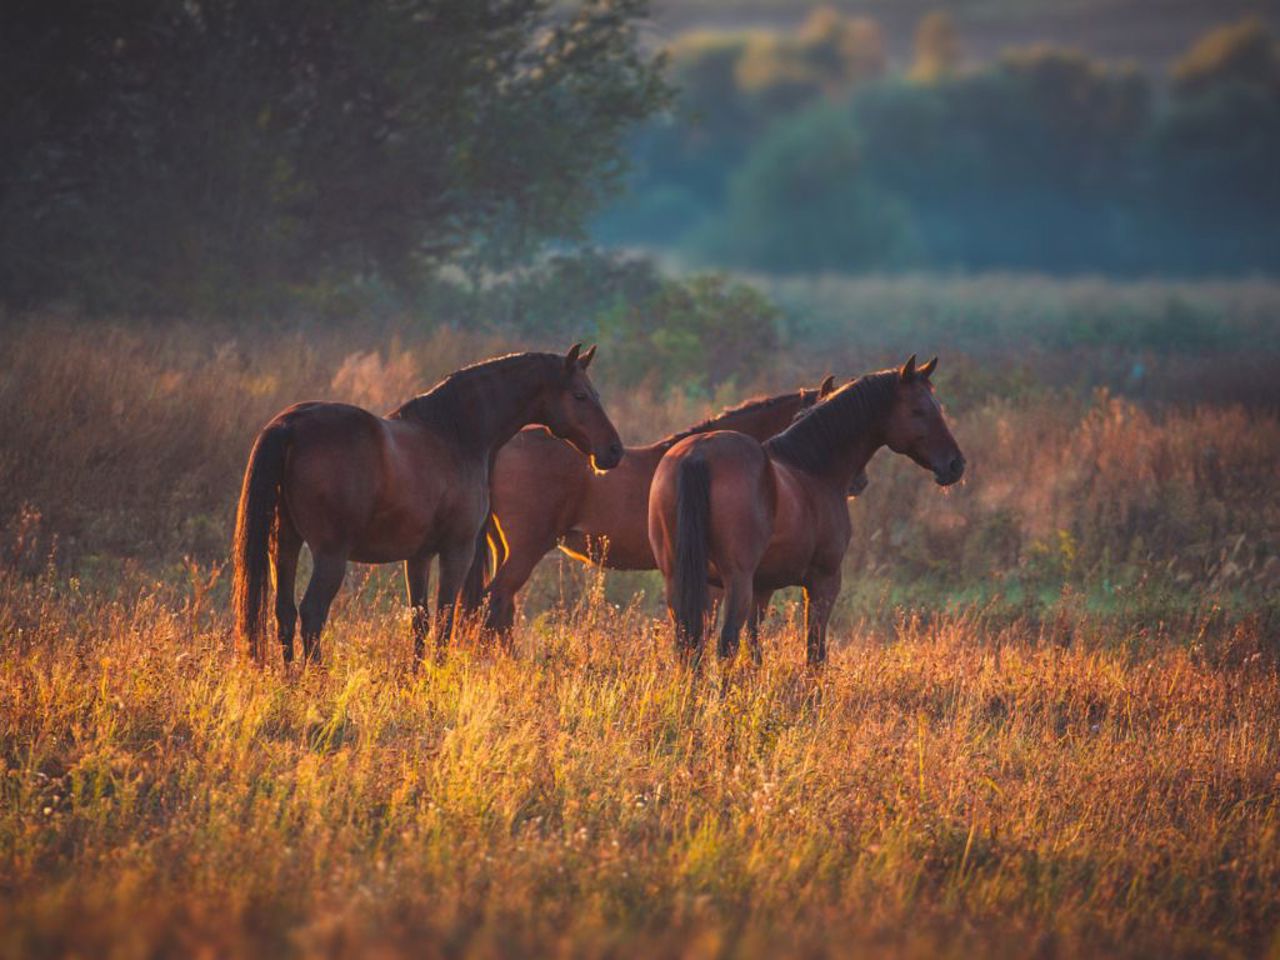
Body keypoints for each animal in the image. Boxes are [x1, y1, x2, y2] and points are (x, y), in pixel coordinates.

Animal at [232, 345, 623, 666]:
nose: (614, 451)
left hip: (284, 545)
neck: (454, 433)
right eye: (580, 395)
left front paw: (417, 677)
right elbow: (445, 619)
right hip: (330, 556)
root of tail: (290, 424)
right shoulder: (457, 551)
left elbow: (419, 622)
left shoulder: (418, 556)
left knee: (284, 613)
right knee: (311, 614)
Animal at [649, 356, 964, 670]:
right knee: (725, 644)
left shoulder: (763, 587)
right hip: (735, 581)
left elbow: (755, 649)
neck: (812, 468)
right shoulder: (824, 582)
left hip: (680, 579)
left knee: (689, 645)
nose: (955, 464)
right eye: (919, 410)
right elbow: (815, 653)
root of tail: (698, 454)